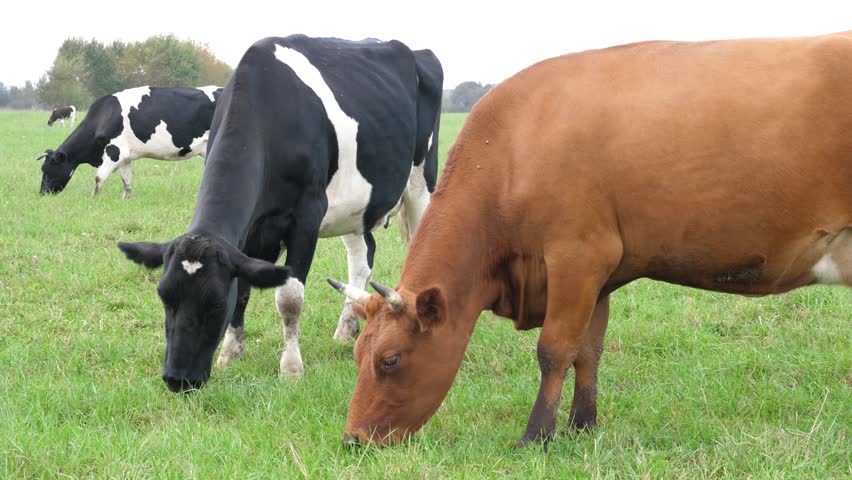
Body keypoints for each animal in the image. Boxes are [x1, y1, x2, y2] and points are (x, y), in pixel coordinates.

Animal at [37, 85, 222, 199]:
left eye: (46, 169)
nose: (43, 193)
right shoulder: (125, 156)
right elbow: (126, 181)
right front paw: (126, 200)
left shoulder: (113, 151)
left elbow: (99, 178)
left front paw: (93, 198)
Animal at [115, 35, 443, 393]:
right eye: (164, 296)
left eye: (215, 302)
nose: (178, 378)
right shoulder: (252, 232)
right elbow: (244, 290)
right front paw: (231, 354)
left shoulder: (306, 217)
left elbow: (289, 299)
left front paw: (291, 368)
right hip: (354, 207)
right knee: (362, 257)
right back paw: (346, 330)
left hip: (422, 183)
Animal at [328, 32, 852, 447]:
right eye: (356, 354)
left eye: (391, 360)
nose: (353, 439)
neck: (515, 146)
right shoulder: (600, 274)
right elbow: (588, 350)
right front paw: (582, 425)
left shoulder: (575, 257)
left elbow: (554, 349)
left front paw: (536, 435)